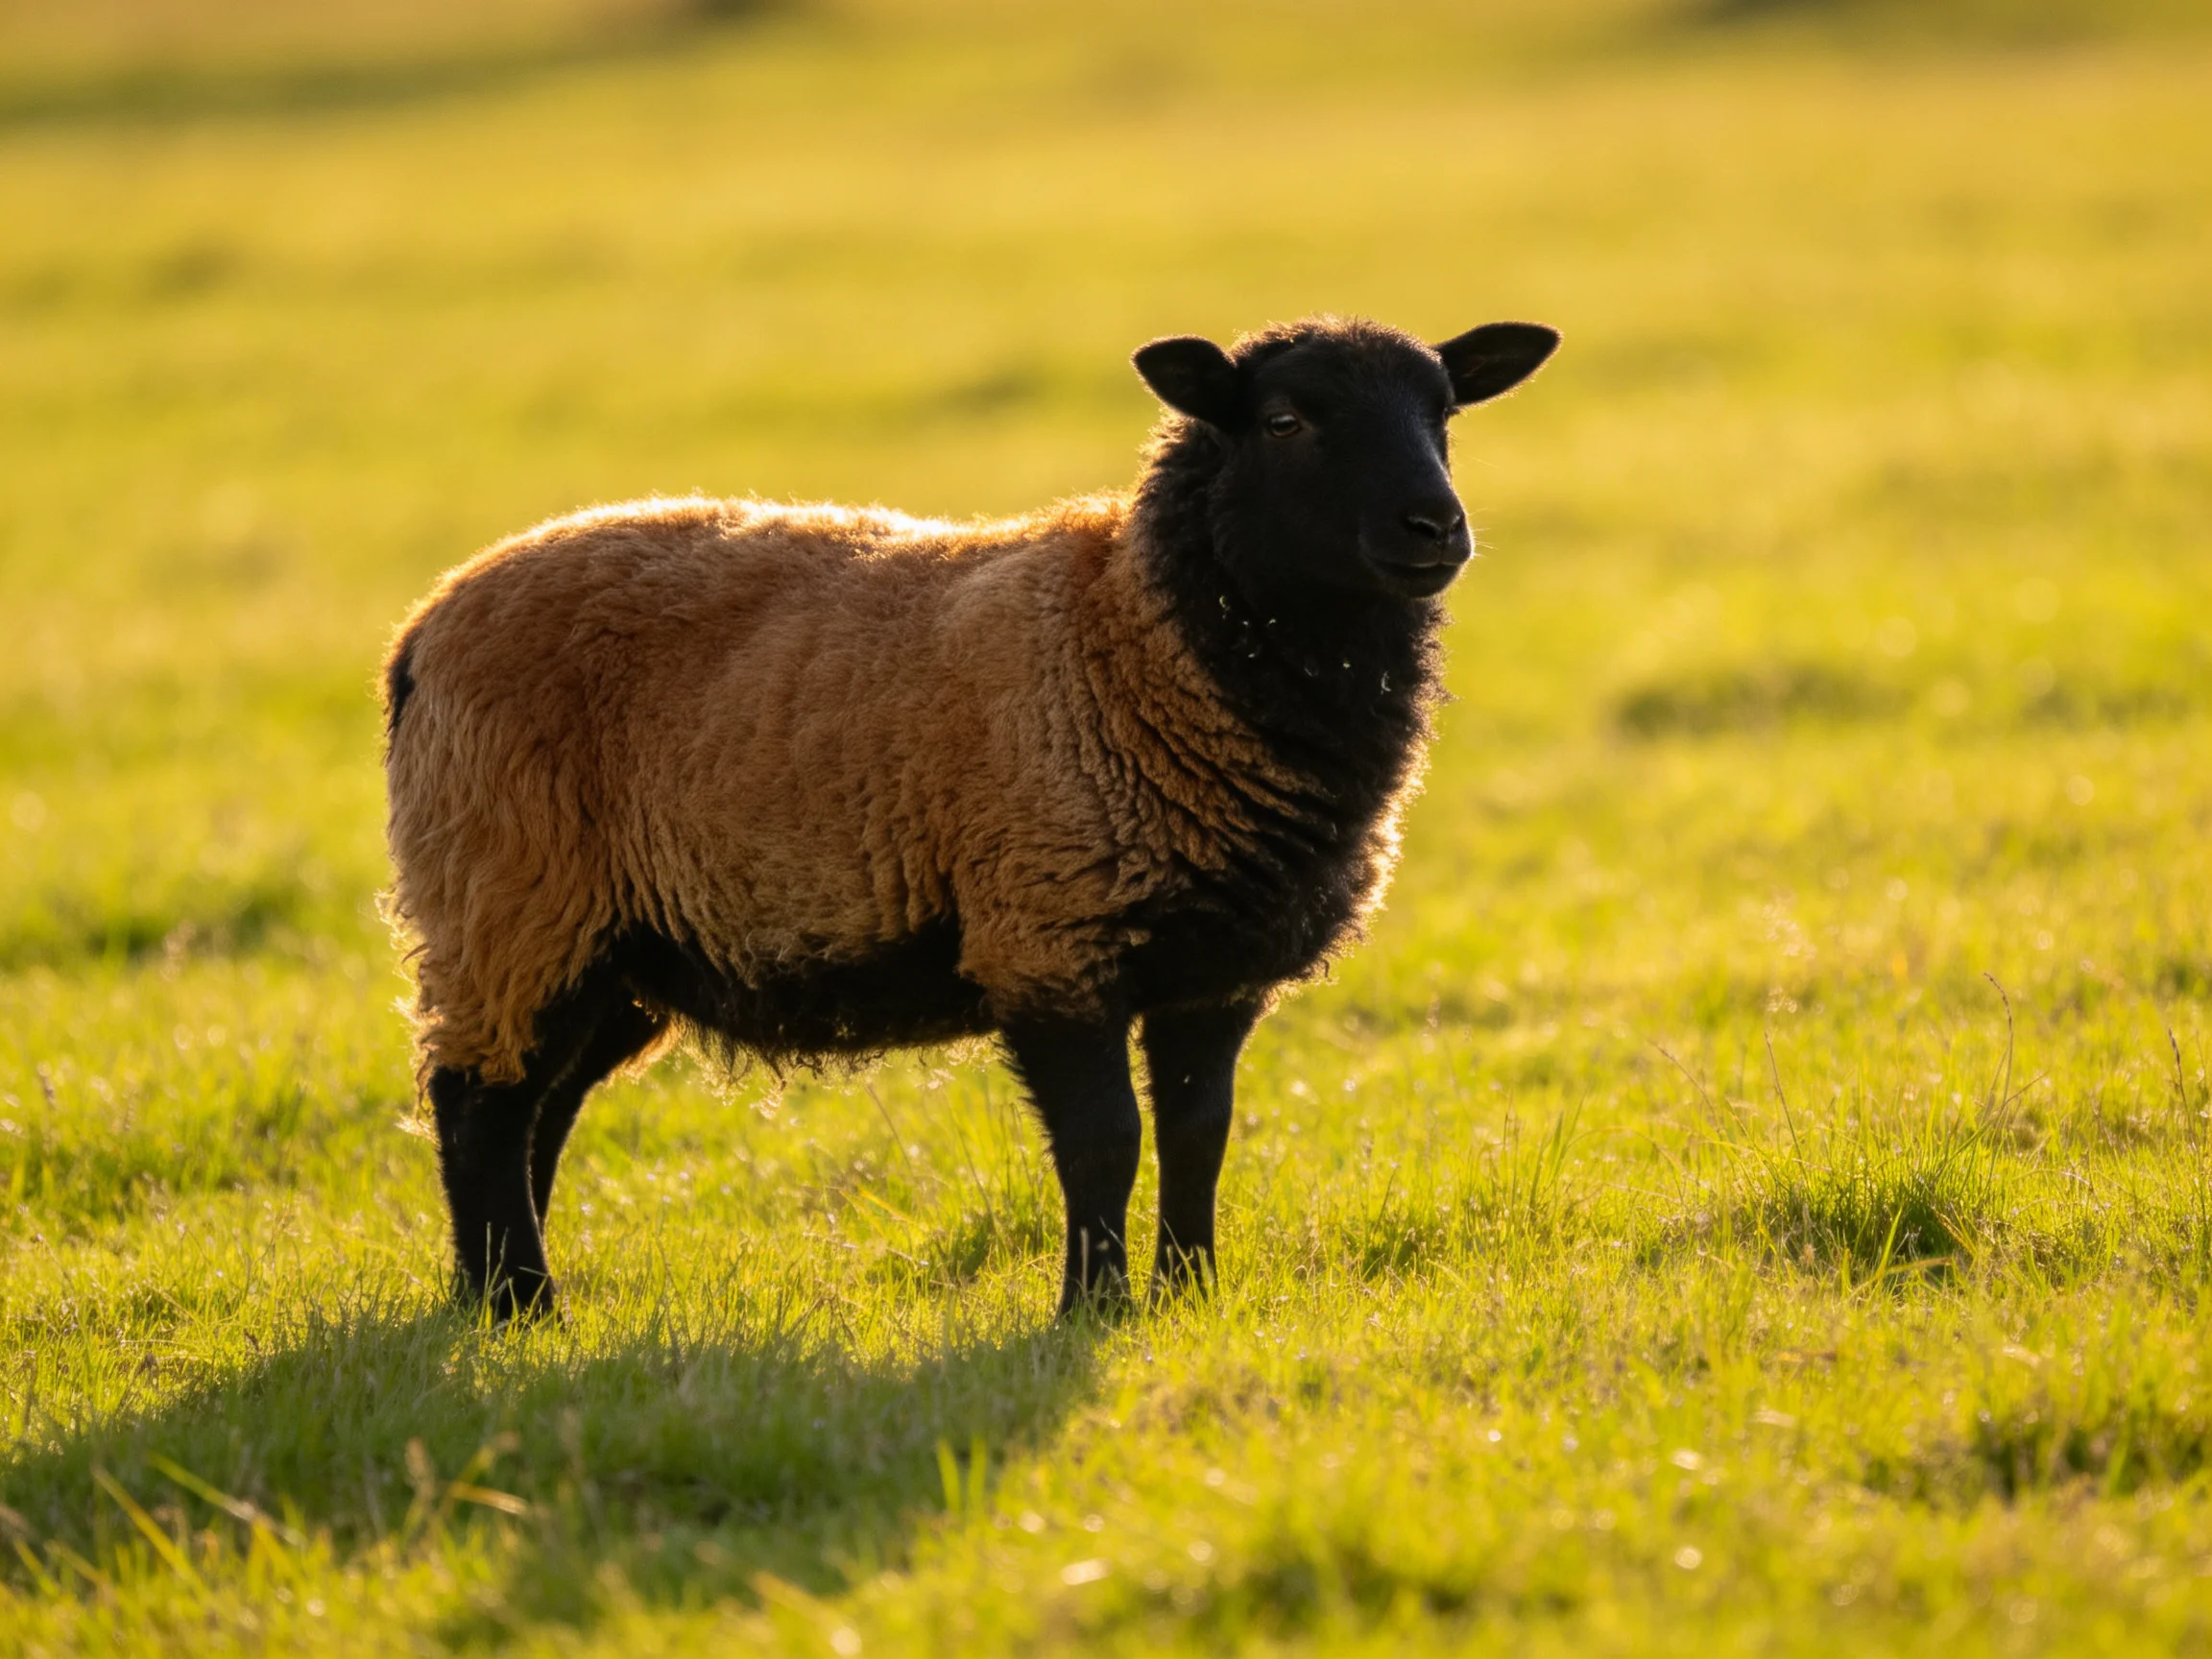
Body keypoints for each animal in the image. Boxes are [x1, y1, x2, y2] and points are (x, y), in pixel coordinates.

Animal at [382, 313, 1559, 1320]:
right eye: (1284, 421)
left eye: (1444, 414)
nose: (1435, 527)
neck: (1139, 641)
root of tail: (425, 626)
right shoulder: (1049, 931)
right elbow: (1105, 1141)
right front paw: (1093, 1310)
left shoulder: (1215, 970)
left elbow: (1199, 1134)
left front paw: (1190, 1296)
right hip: (509, 890)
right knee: (478, 1103)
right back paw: (520, 1304)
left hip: (610, 943)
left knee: (539, 1106)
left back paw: (490, 1295)